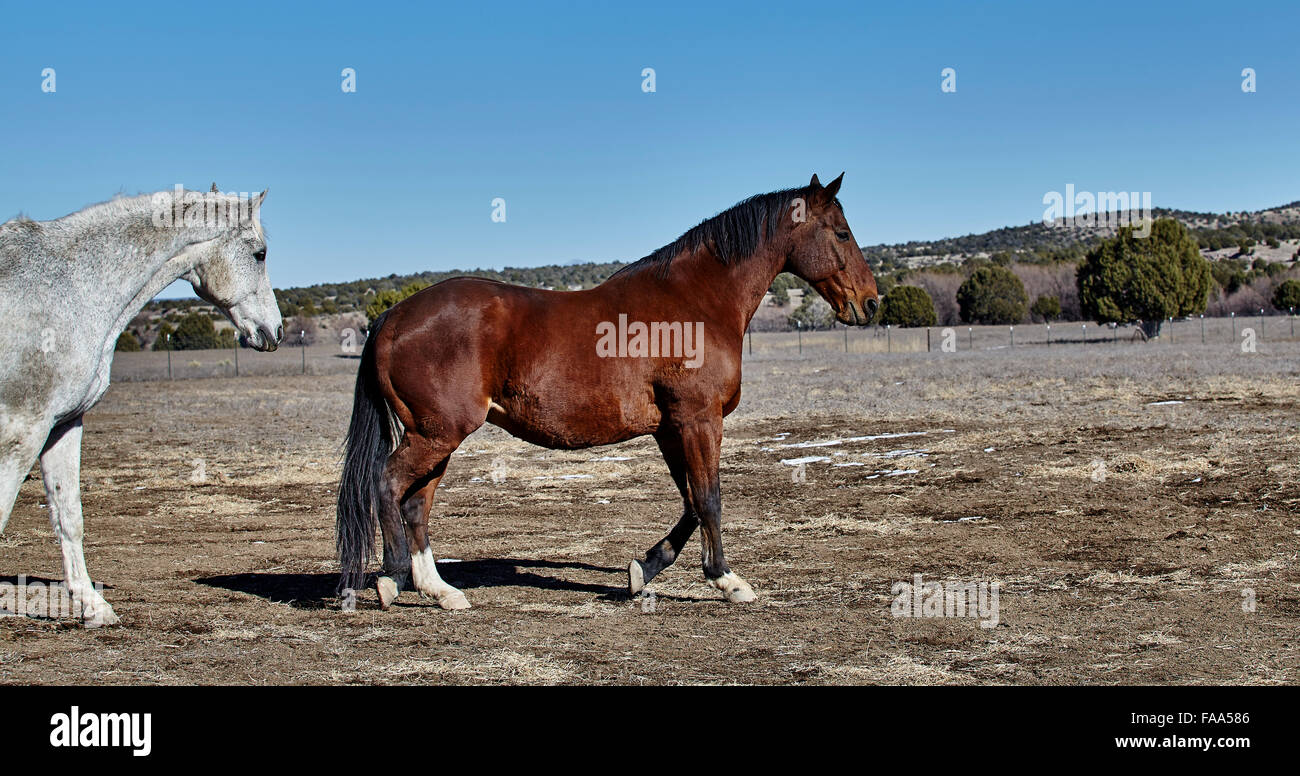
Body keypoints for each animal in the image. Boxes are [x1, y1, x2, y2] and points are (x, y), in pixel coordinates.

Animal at [0, 186, 283, 626]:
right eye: (260, 254)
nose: (277, 330)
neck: (71, 288)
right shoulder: (23, 429)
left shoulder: (63, 425)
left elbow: (69, 514)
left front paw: (93, 605)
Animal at [336, 173, 879, 610]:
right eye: (842, 232)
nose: (870, 303)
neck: (695, 301)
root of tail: (391, 318)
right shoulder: (699, 420)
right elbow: (709, 498)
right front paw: (727, 581)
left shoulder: (670, 429)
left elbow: (689, 501)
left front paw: (644, 570)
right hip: (437, 434)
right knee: (386, 484)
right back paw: (392, 578)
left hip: (436, 438)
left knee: (414, 506)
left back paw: (440, 591)